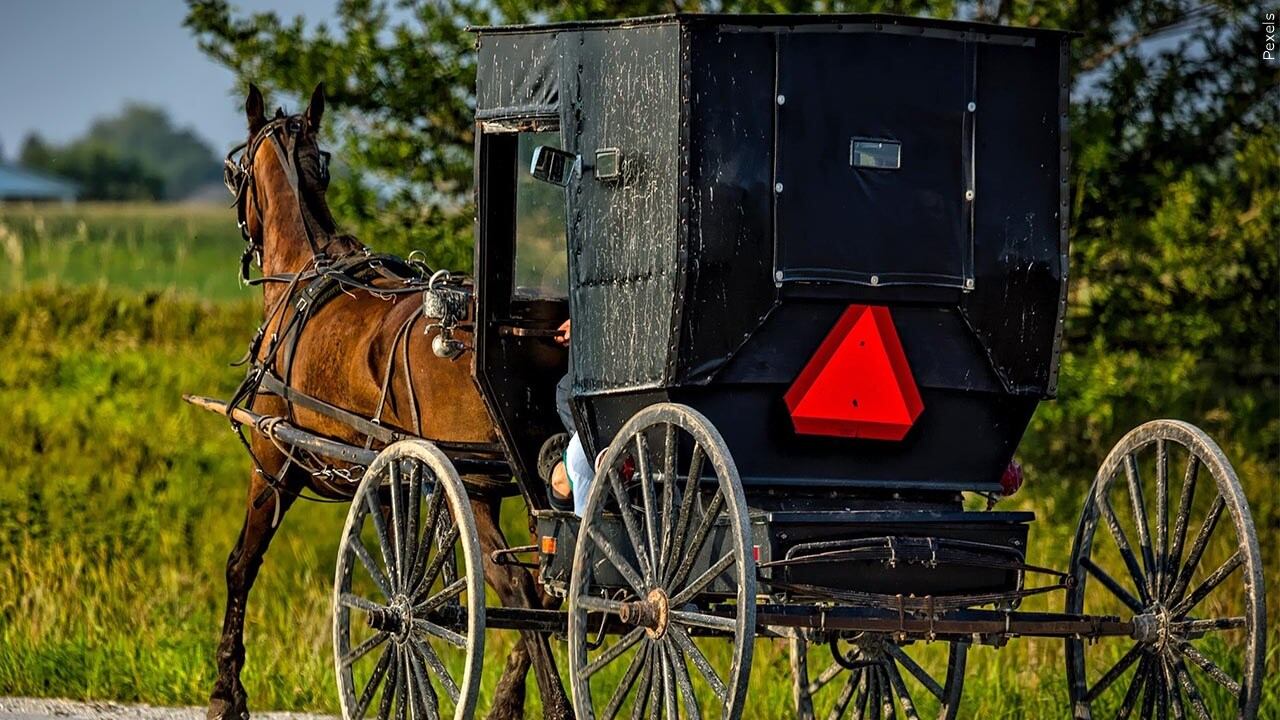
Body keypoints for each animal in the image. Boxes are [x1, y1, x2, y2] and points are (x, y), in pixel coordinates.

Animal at [205, 83, 570, 720]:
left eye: (235, 171)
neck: (305, 272)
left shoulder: (275, 463)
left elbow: (241, 566)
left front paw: (227, 691)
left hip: (474, 487)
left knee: (522, 590)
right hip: (527, 485)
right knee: (552, 589)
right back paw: (510, 701)